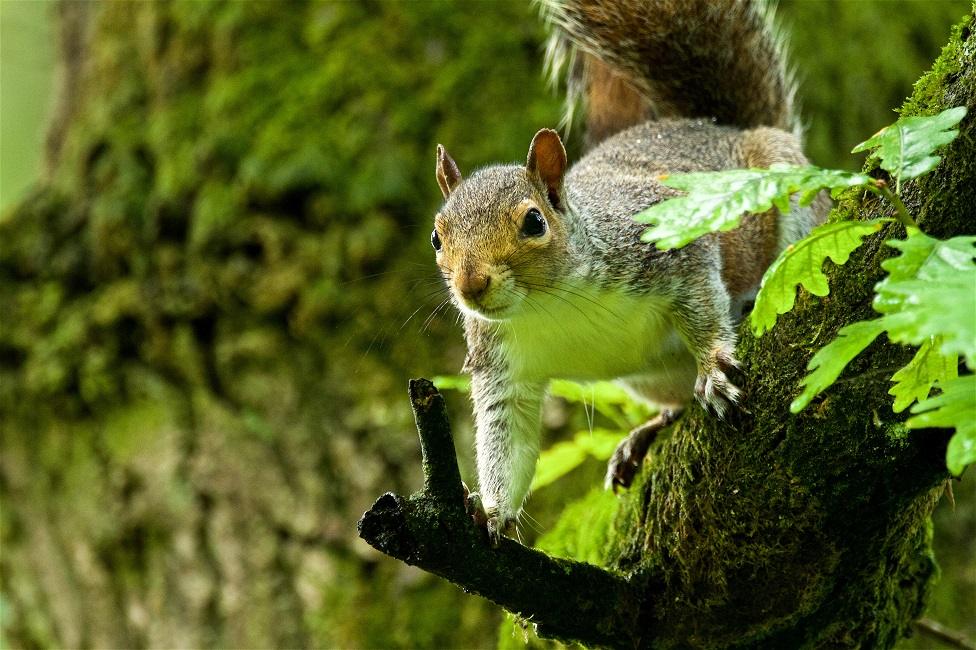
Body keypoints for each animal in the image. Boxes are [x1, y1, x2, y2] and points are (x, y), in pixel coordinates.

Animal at [430, 0, 828, 544]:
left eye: (534, 222)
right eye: (437, 237)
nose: (470, 285)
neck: (550, 304)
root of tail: (721, 127)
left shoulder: (668, 245)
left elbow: (703, 307)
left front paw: (713, 368)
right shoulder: (502, 365)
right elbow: (507, 438)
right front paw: (491, 511)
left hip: (792, 197)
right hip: (650, 379)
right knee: (674, 405)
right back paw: (644, 436)